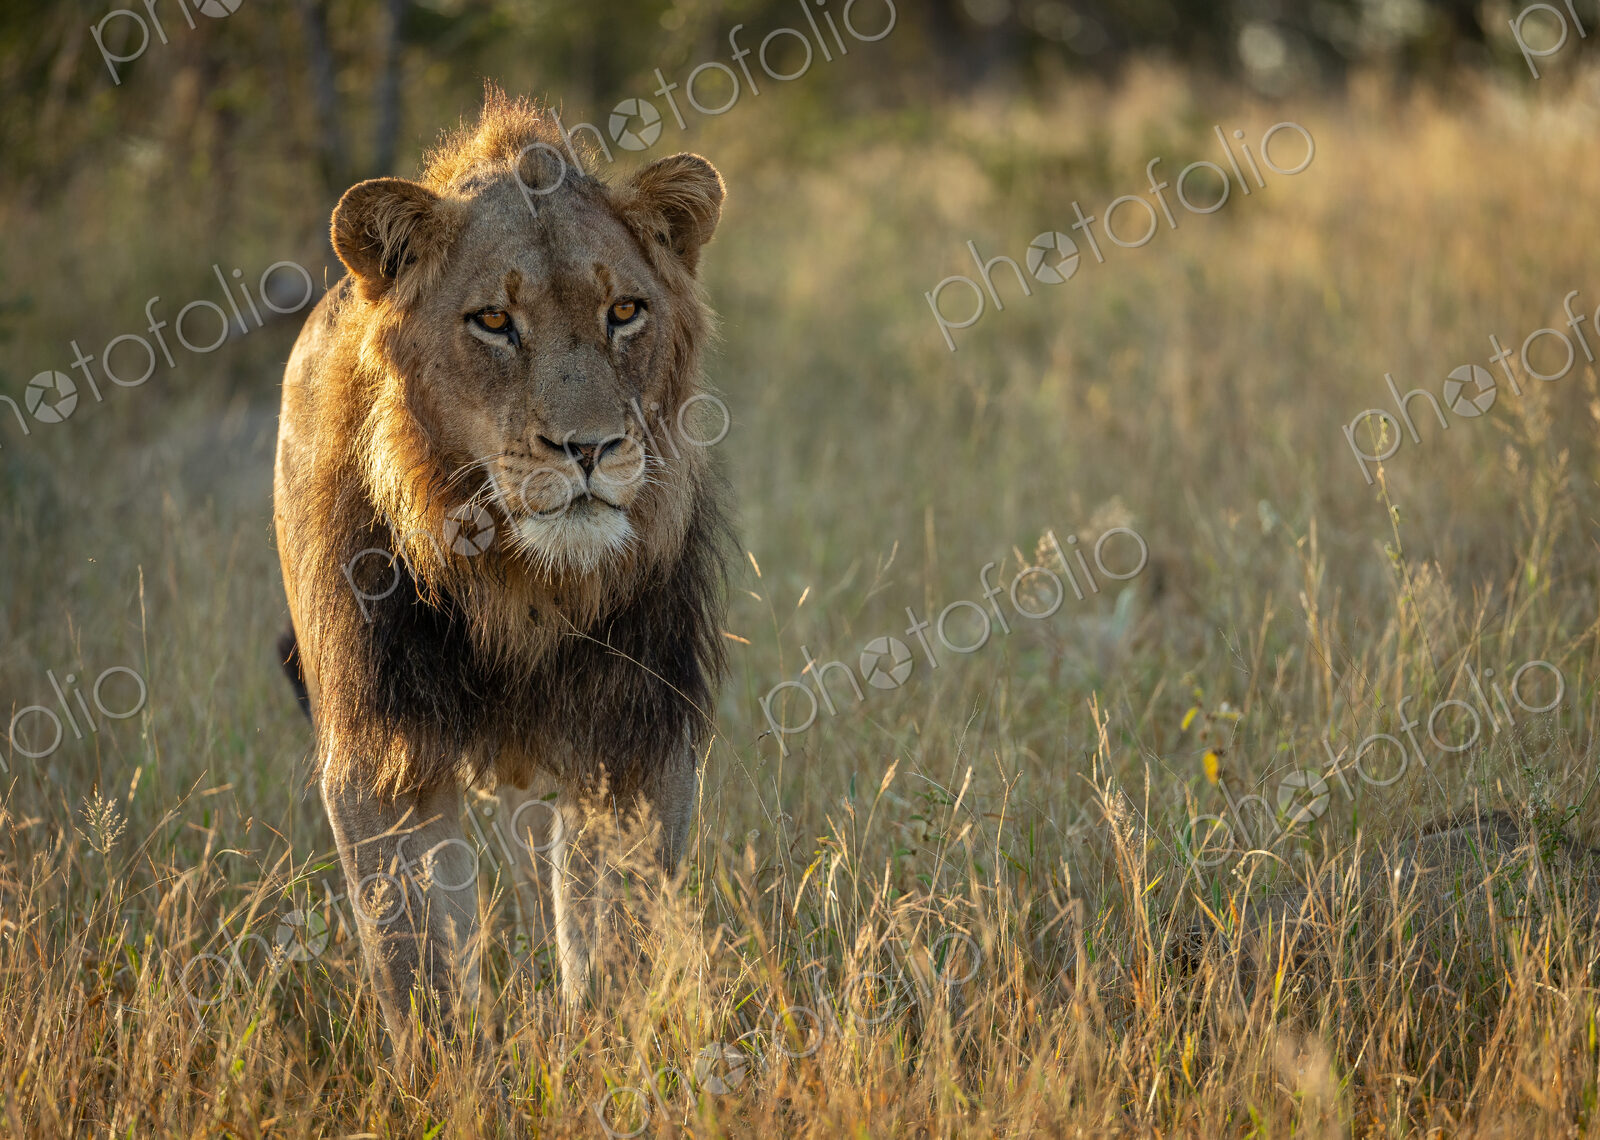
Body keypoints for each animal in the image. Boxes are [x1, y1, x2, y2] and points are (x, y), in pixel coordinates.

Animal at [272, 91, 731, 1051]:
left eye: (624, 310)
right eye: (493, 322)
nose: (589, 448)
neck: (517, 581)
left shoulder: (635, 744)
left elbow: (617, 944)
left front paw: (610, 1057)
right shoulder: (383, 756)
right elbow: (421, 969)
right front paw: (453, 1071)